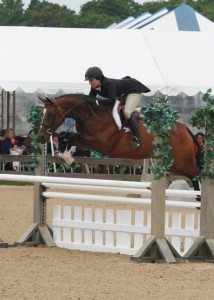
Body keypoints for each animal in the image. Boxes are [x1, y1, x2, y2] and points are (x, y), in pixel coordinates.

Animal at [38, 94, 201, 182]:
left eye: (50, 114)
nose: (41, 137)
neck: (90, 115)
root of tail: (184, 129)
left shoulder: (101, 144)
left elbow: (70, 136)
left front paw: (67, 157)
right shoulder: (85, 143)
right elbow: (66, 136)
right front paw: (66, 157)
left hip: (183, 162)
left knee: (198, 173)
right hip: (176, 165)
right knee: (193, 176)